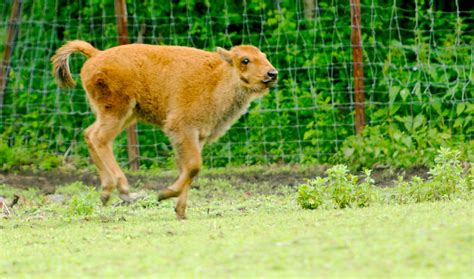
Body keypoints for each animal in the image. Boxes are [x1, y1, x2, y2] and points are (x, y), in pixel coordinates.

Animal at [52, 41, 278, 221]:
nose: (272, 74)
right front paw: (164, 194)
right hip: (116, 111)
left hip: (125, 115)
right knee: (99, 138)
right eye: (245, 60)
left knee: (89, 135)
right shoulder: (181, 128)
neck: (217, 76)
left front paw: (180, 212)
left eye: (264, 56)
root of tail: (96, 54)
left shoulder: (198, 136)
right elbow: (193, 166)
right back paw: (123, 189)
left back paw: (106, 192)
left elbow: (188, 169)